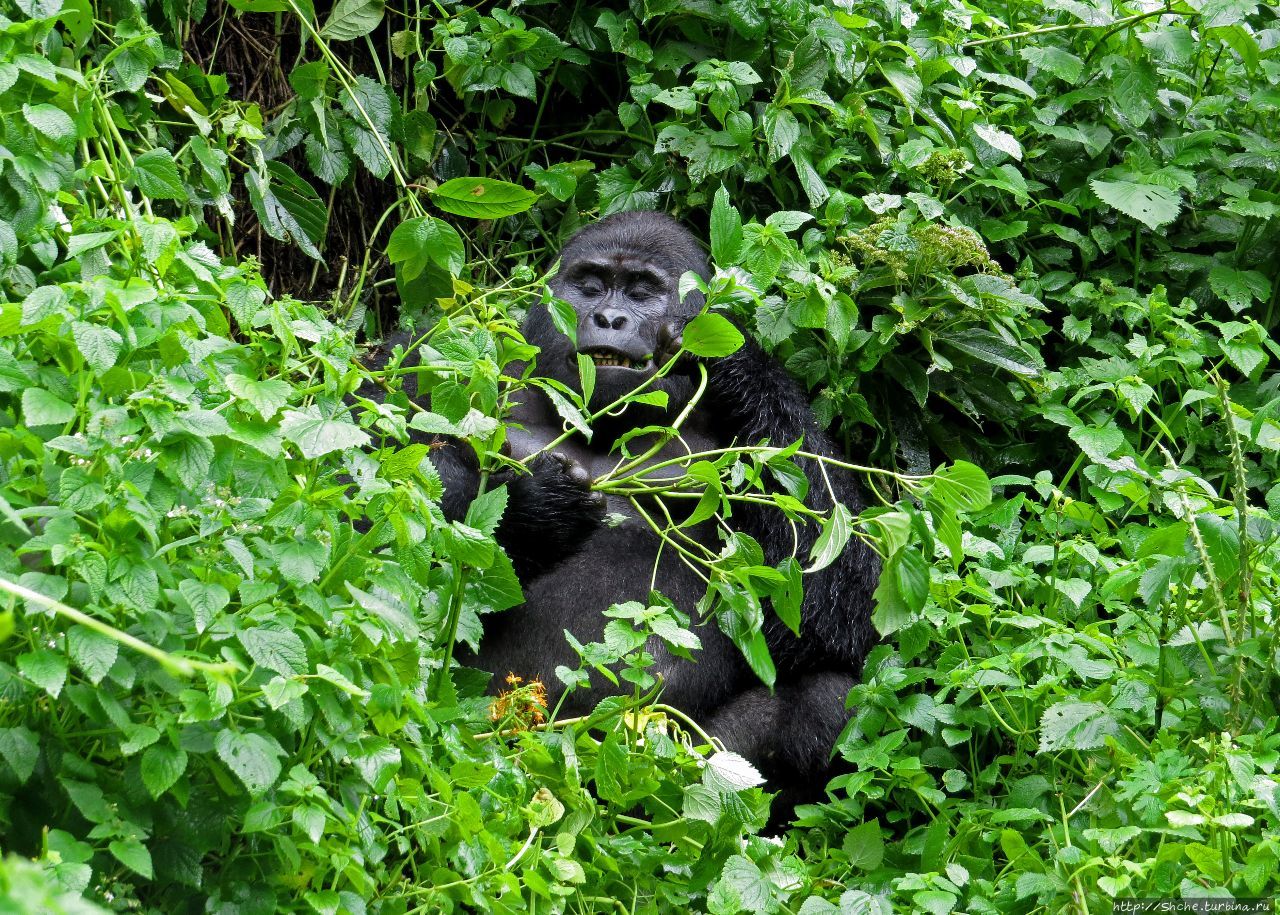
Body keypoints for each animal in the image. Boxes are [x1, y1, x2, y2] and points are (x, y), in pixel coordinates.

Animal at [371, 212, 880, 803]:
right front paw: (536, 507)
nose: (608, 318)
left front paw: (726, 359)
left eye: (642, 293)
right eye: (590, 286)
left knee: (827, 701)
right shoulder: (428, 355)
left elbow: (836, 605)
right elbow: (364, 478)